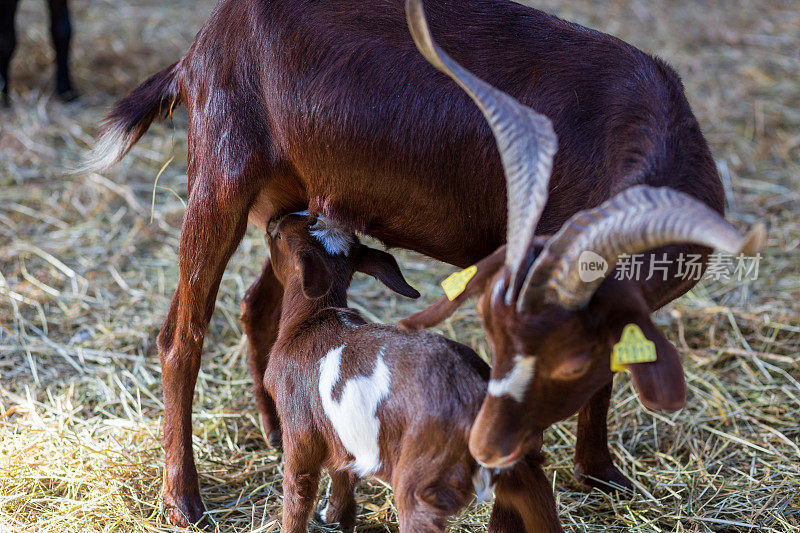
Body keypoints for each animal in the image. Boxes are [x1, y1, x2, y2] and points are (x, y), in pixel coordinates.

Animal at [83, 0, 756, 524]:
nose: (492, 444)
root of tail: (200, 45)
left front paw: (601, 475)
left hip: (293, 191)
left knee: (259, 302)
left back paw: (275, 427)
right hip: (223, 162)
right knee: (182, 336)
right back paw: (183, 501)